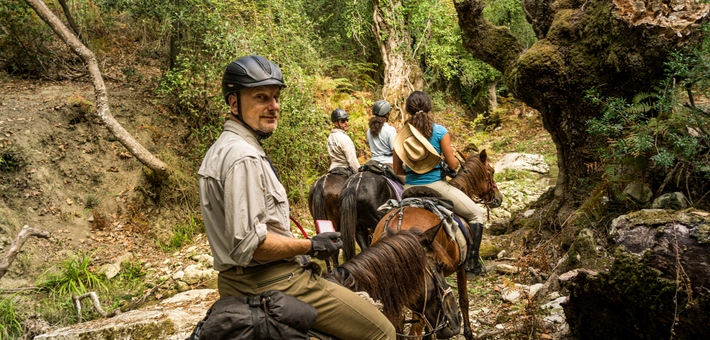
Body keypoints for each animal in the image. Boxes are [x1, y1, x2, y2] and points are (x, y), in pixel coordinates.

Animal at [372, 151, 506, 340]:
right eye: (491, 172)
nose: (499, 198)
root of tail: (396, 224)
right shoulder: (461, 268)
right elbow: (464, 301)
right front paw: (468, 333)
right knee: (419, 327)